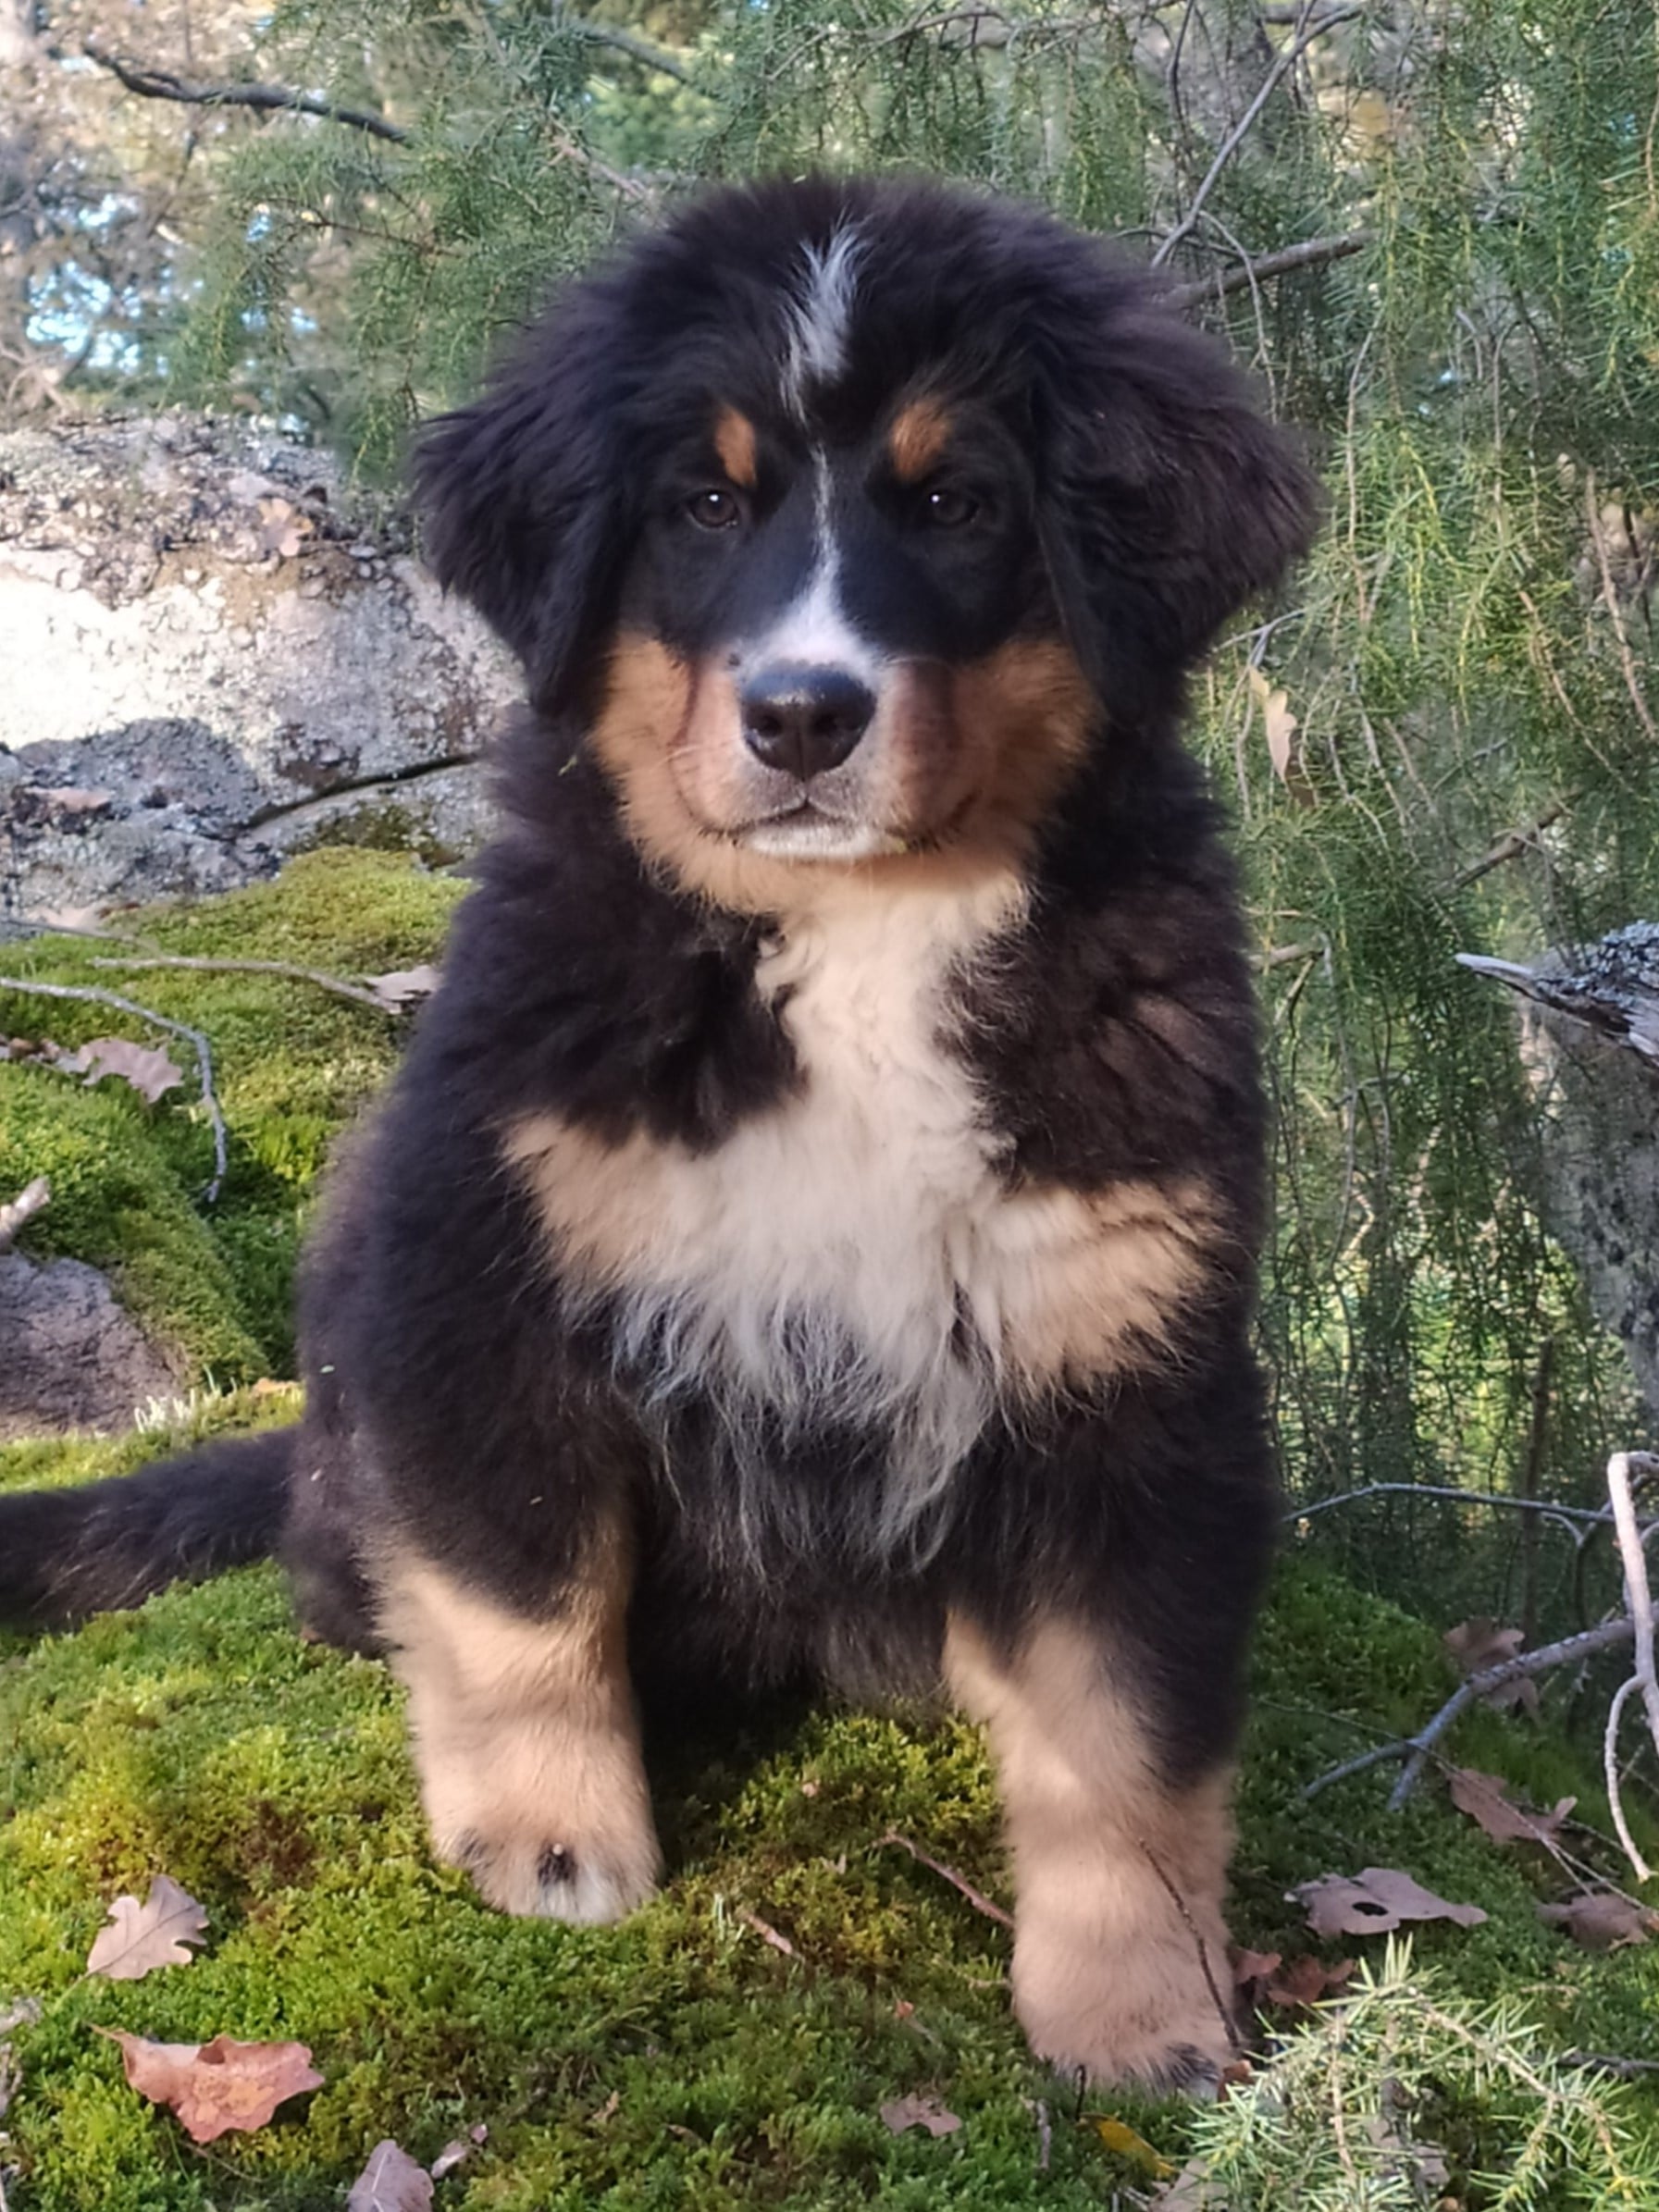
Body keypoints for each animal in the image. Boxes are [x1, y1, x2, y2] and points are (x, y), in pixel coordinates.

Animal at [0, 176, 1316, 2090]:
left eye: (957, 503)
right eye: (702, 503)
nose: (801, 716)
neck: (853, 942)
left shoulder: (1122, 1360)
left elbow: (1120, 1738)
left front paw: (1140, 2008)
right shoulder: (485, 1277)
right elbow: (519, 1601)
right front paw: (550, 1848)